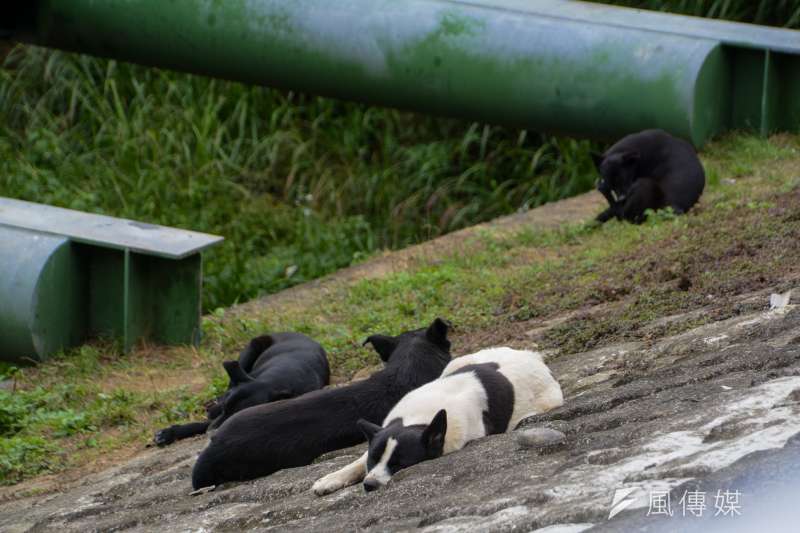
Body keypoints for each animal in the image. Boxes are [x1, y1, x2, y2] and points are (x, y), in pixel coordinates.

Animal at [153, 330, 328, 446]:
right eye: (226, 408)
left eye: (239, 416)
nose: (211, 434)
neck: (274, 380)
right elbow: (207, 421)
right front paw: (170, 432)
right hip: (252, 348)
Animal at [312, 344, 564, 494]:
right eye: (374, 460)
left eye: (400, 465)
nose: (369, 484)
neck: (419, 418)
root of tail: (532, 356)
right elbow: (358, 460)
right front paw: (331, 479)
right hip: (457, 362)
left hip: (546, 401)